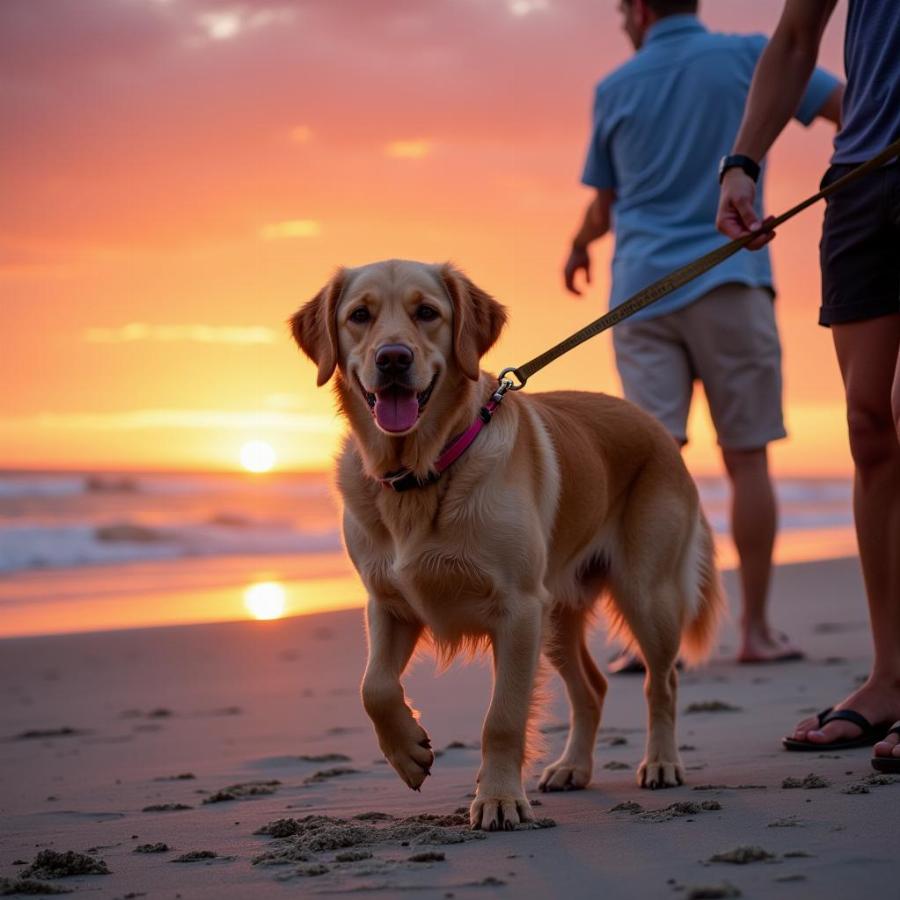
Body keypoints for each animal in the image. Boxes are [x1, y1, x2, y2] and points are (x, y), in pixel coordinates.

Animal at [290, 258, 724, 828]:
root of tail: (654, 425)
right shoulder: (387, 603)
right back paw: (571, 768)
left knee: (662, 682)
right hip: (558, 615)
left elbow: (503, 716)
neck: (423, 473)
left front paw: (498, 798)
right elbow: (374, 688)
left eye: (427, 313)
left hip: (644, 594)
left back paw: (661, 762)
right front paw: (409, 752)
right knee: (593, 688)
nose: (393, 358)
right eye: (359, 316)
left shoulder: (518, 610)